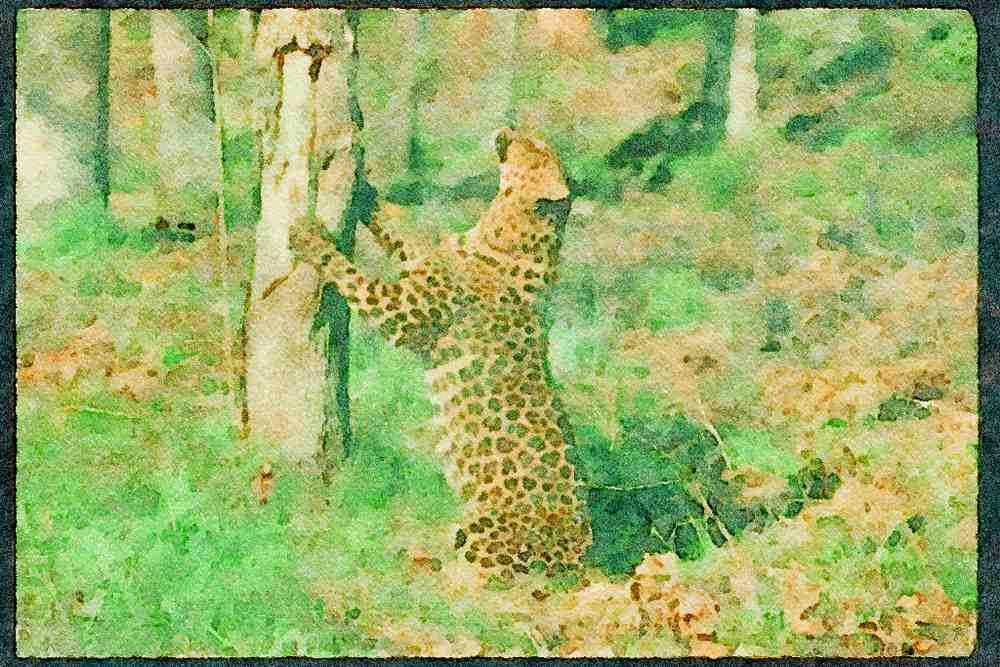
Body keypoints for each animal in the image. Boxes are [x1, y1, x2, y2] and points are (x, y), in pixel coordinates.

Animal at [290, 128, 592, 578]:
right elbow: (399, 226)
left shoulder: (403, 310)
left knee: (483, 572)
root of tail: (582, 557)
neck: (500, 229)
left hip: (486, 533)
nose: (508, 127)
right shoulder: (425, 255)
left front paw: (310, 238)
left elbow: (354, 277)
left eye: (536, 149)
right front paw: (363, 185)